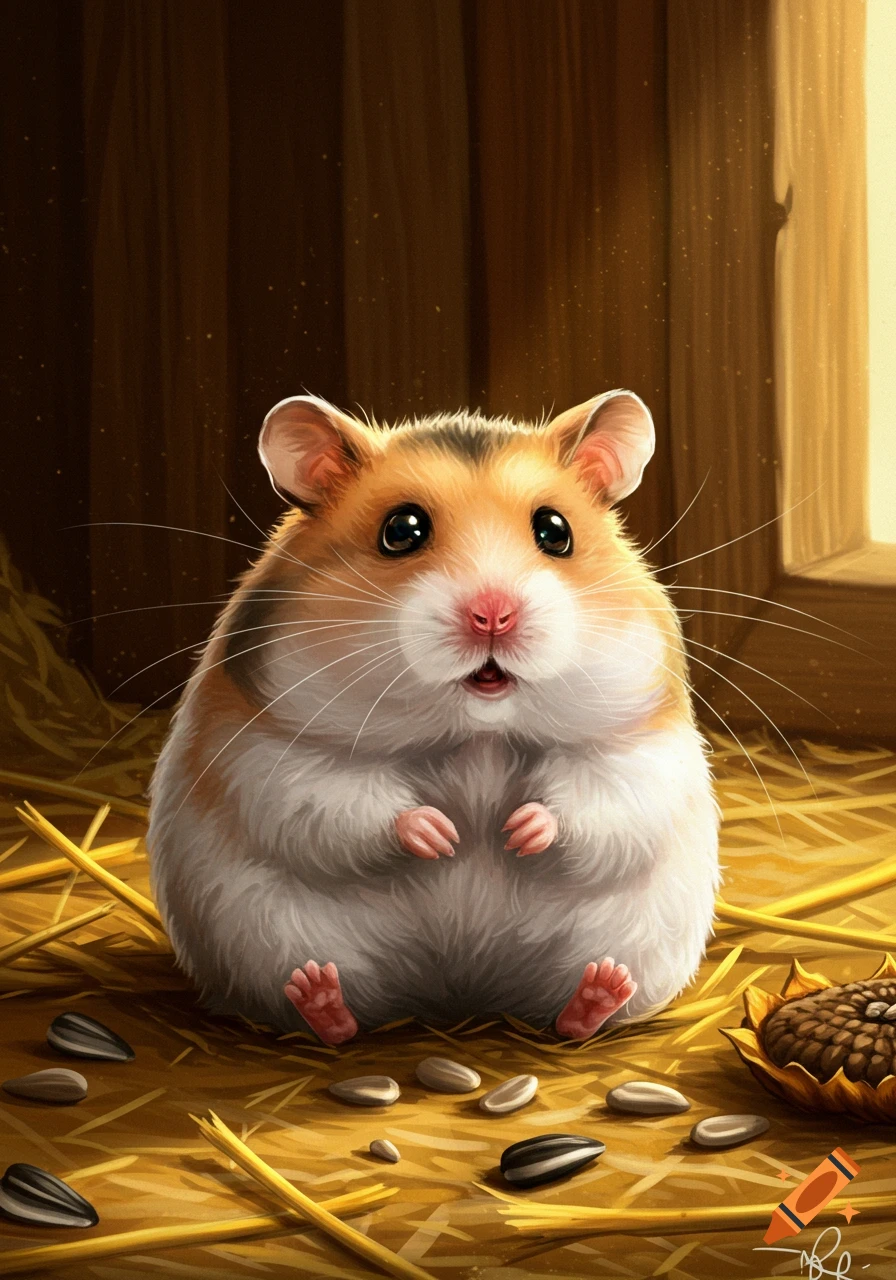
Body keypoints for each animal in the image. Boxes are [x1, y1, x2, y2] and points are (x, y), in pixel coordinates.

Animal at [147, 390, 720, 1045]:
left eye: (555, 531)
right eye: (402, 530)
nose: (493, 615)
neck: (474, 732)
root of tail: (456, 995)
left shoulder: (637, 746)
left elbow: (601, 801)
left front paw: (516, 832)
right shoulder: (271, 751)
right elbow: (338, 800)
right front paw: (443, 836)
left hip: (634, 937)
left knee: (573, 1011)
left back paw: (599, 992)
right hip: (262, 933)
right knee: (326, 1008)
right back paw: (319, 996)